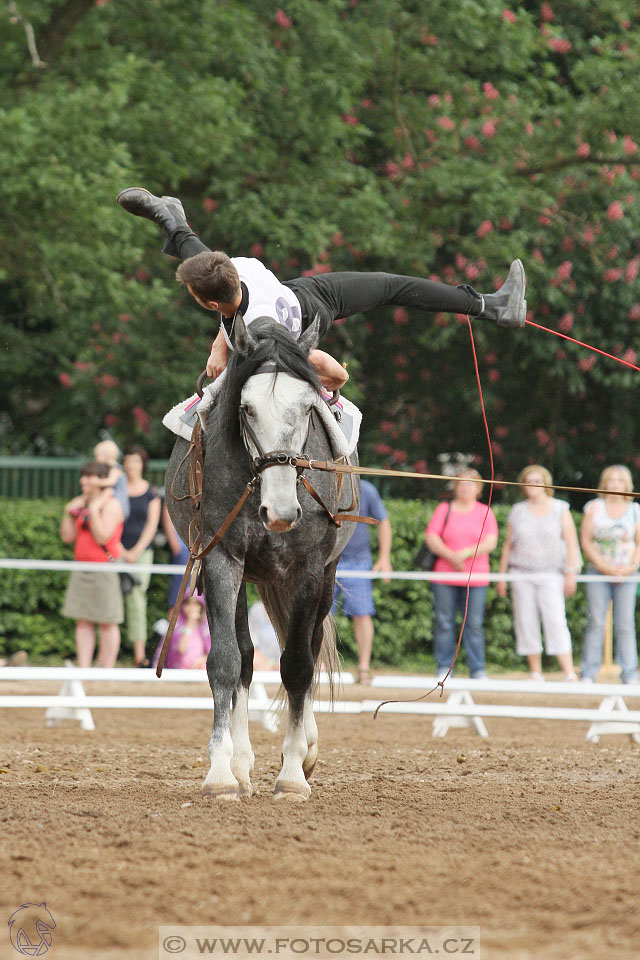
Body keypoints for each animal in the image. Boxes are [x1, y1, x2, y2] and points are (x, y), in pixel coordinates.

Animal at [165, 316, 360, 804]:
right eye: (246, 409)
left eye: (309, 408)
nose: (281, 512)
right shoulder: (220, 560)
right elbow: (226, 663)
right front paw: (221, 773)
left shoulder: (308, 570)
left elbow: (297, 665)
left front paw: (291, 773)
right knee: (247, 658)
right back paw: (241, 765)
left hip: (324, 579)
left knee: (308, 648)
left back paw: (306, 749)